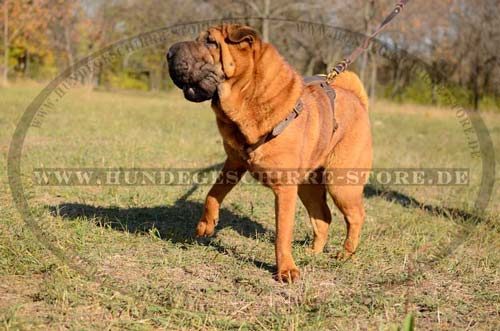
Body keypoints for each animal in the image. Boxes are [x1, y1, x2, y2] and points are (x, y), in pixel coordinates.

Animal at [168, 24, 372, 282]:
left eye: (211, 42)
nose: (168, 53)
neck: (250, 97)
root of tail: (358, 99)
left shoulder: (284, 189)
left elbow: (282, 234)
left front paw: (286, 270)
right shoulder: (234, 163)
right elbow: (213, 193)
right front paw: (206, 225)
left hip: (341, 184)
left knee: (356, 217)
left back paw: (344, 255)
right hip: (308, 187)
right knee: (323, 217)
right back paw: (313, 252)